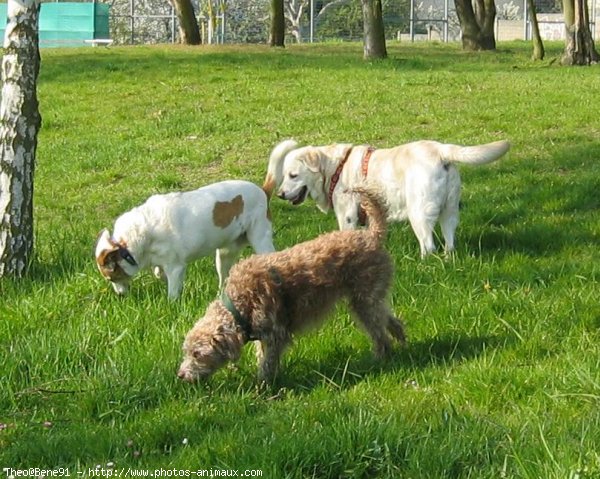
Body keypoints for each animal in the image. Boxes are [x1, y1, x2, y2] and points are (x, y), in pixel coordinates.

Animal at [95, 181, 276, 298]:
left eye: (111, 278)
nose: (120, 295)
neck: (125, 246)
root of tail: (263, 191)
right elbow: (158, 272)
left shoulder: (175, 267)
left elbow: (172, 292)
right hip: (224, 255)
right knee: (224, 278)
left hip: (260, 241)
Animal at [176, 186, 406, 384]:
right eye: (186, 352)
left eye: (197, 354)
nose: (180, 375)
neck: (240, 304)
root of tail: (372, 235)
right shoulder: (264, 336)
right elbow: (263, 357)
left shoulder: (276, 334)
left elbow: (267, 364)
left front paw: (263, 386)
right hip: (369, 300)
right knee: (391, 320)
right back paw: (401, 342)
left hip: (364, 301)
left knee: (380, 334)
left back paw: (380, 358)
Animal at [266, 139, 510, 258]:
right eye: (285, 175)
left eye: (293, 175)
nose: (280, 194)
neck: (336, 168)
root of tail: (440, 150)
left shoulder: (347, 216)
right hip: (449, 212)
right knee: (449, 243)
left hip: (418, 214)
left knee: (428, 246)